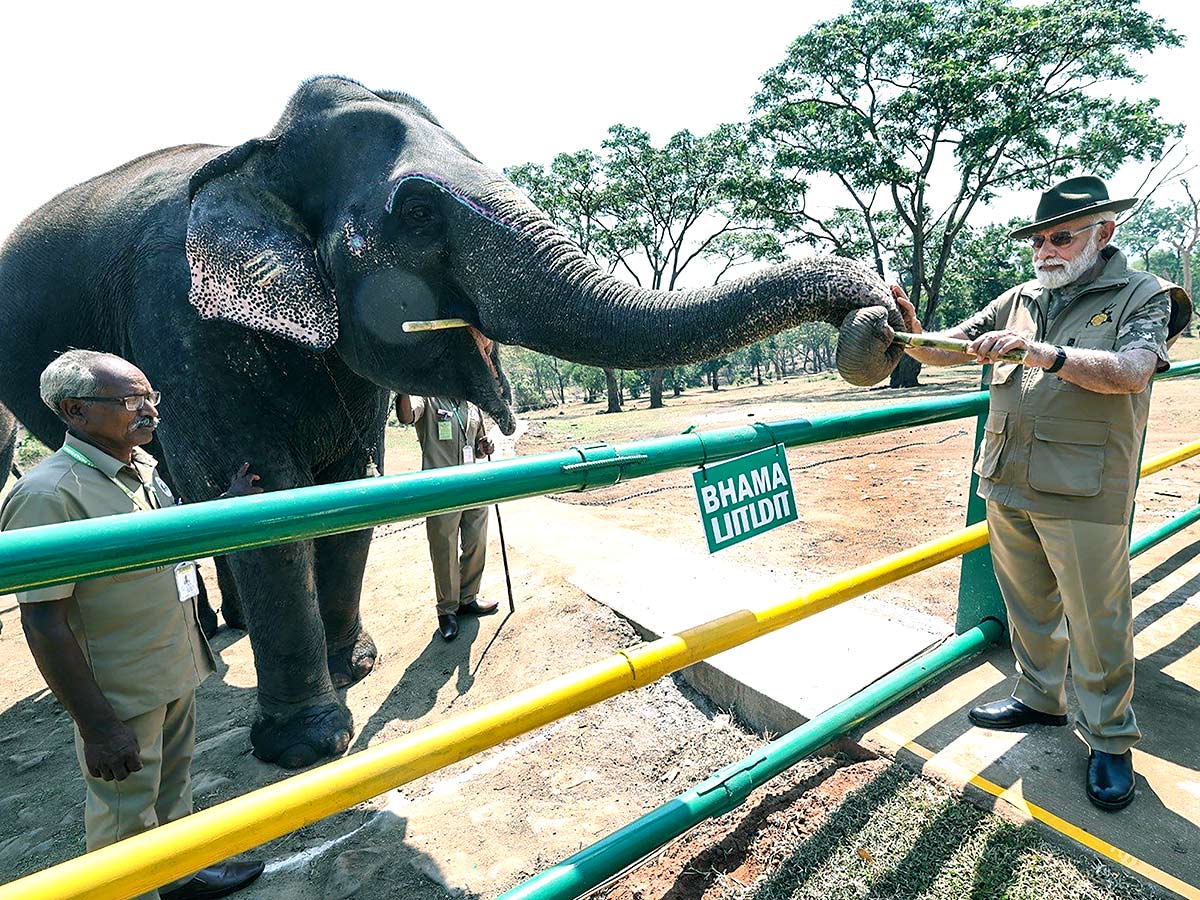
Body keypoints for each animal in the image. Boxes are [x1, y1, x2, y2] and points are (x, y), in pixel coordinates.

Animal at [0, 75, 902, 768]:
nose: (880, 316)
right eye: (419, 213)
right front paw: (307, 747)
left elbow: (350, 486)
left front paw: (356, 668)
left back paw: (229, 639)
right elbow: (261, 495)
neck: (259, 152)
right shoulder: (179, 322)